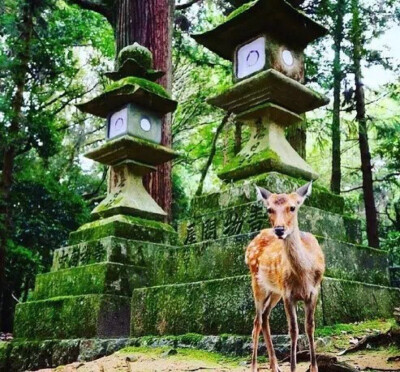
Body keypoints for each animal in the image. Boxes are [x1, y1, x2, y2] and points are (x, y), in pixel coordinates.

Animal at [244, 183, 324, 372]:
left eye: (292, 207)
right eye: (269, 209)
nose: (279, 229)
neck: (303, 275)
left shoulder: (314, 291)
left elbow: (310, 327)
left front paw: (314, 367)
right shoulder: (288, 294)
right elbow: (293, 330)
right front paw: (293, 367)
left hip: (275, 291)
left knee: (265, 317)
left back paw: (275, 366)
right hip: (257, 284)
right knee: (257, 321)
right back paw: (254, 366)